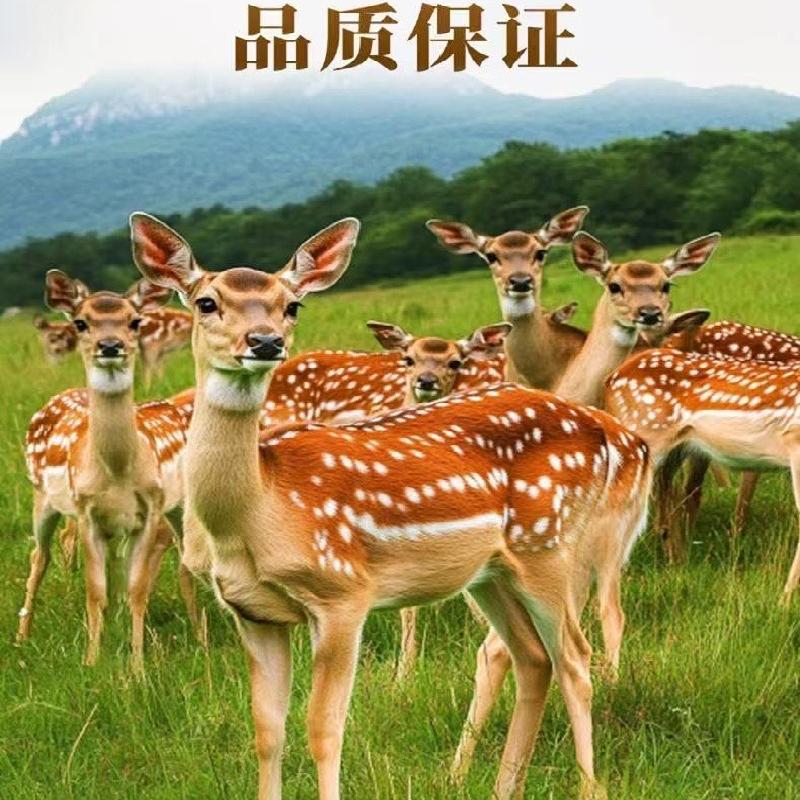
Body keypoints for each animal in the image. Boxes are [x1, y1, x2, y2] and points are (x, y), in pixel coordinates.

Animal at [17, 273, 201, 672]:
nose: (110, 345)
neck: (117, 470)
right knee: (39, 556)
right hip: (41, 497)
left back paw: (199, 637)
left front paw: (137, 668)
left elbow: (136, 590)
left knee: (178, 564)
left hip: (173, 509)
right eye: (80, 322)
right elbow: (94, 591)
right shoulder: (86, 511)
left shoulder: (149, 510)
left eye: (134, 321)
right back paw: (21, 638)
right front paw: (91, 663)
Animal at [131, 209, 653, 800]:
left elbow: (323, 729)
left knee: (574, 658)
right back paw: (504, 787)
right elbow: (267, 732)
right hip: (493, 571)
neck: (258, 508)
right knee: (531, 658)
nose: (264, 342)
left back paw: (588, 786)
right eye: (205, 301)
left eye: (292, 305)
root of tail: (605, 430)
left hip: (549, 543)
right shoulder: (253, 612)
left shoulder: (342, 593)